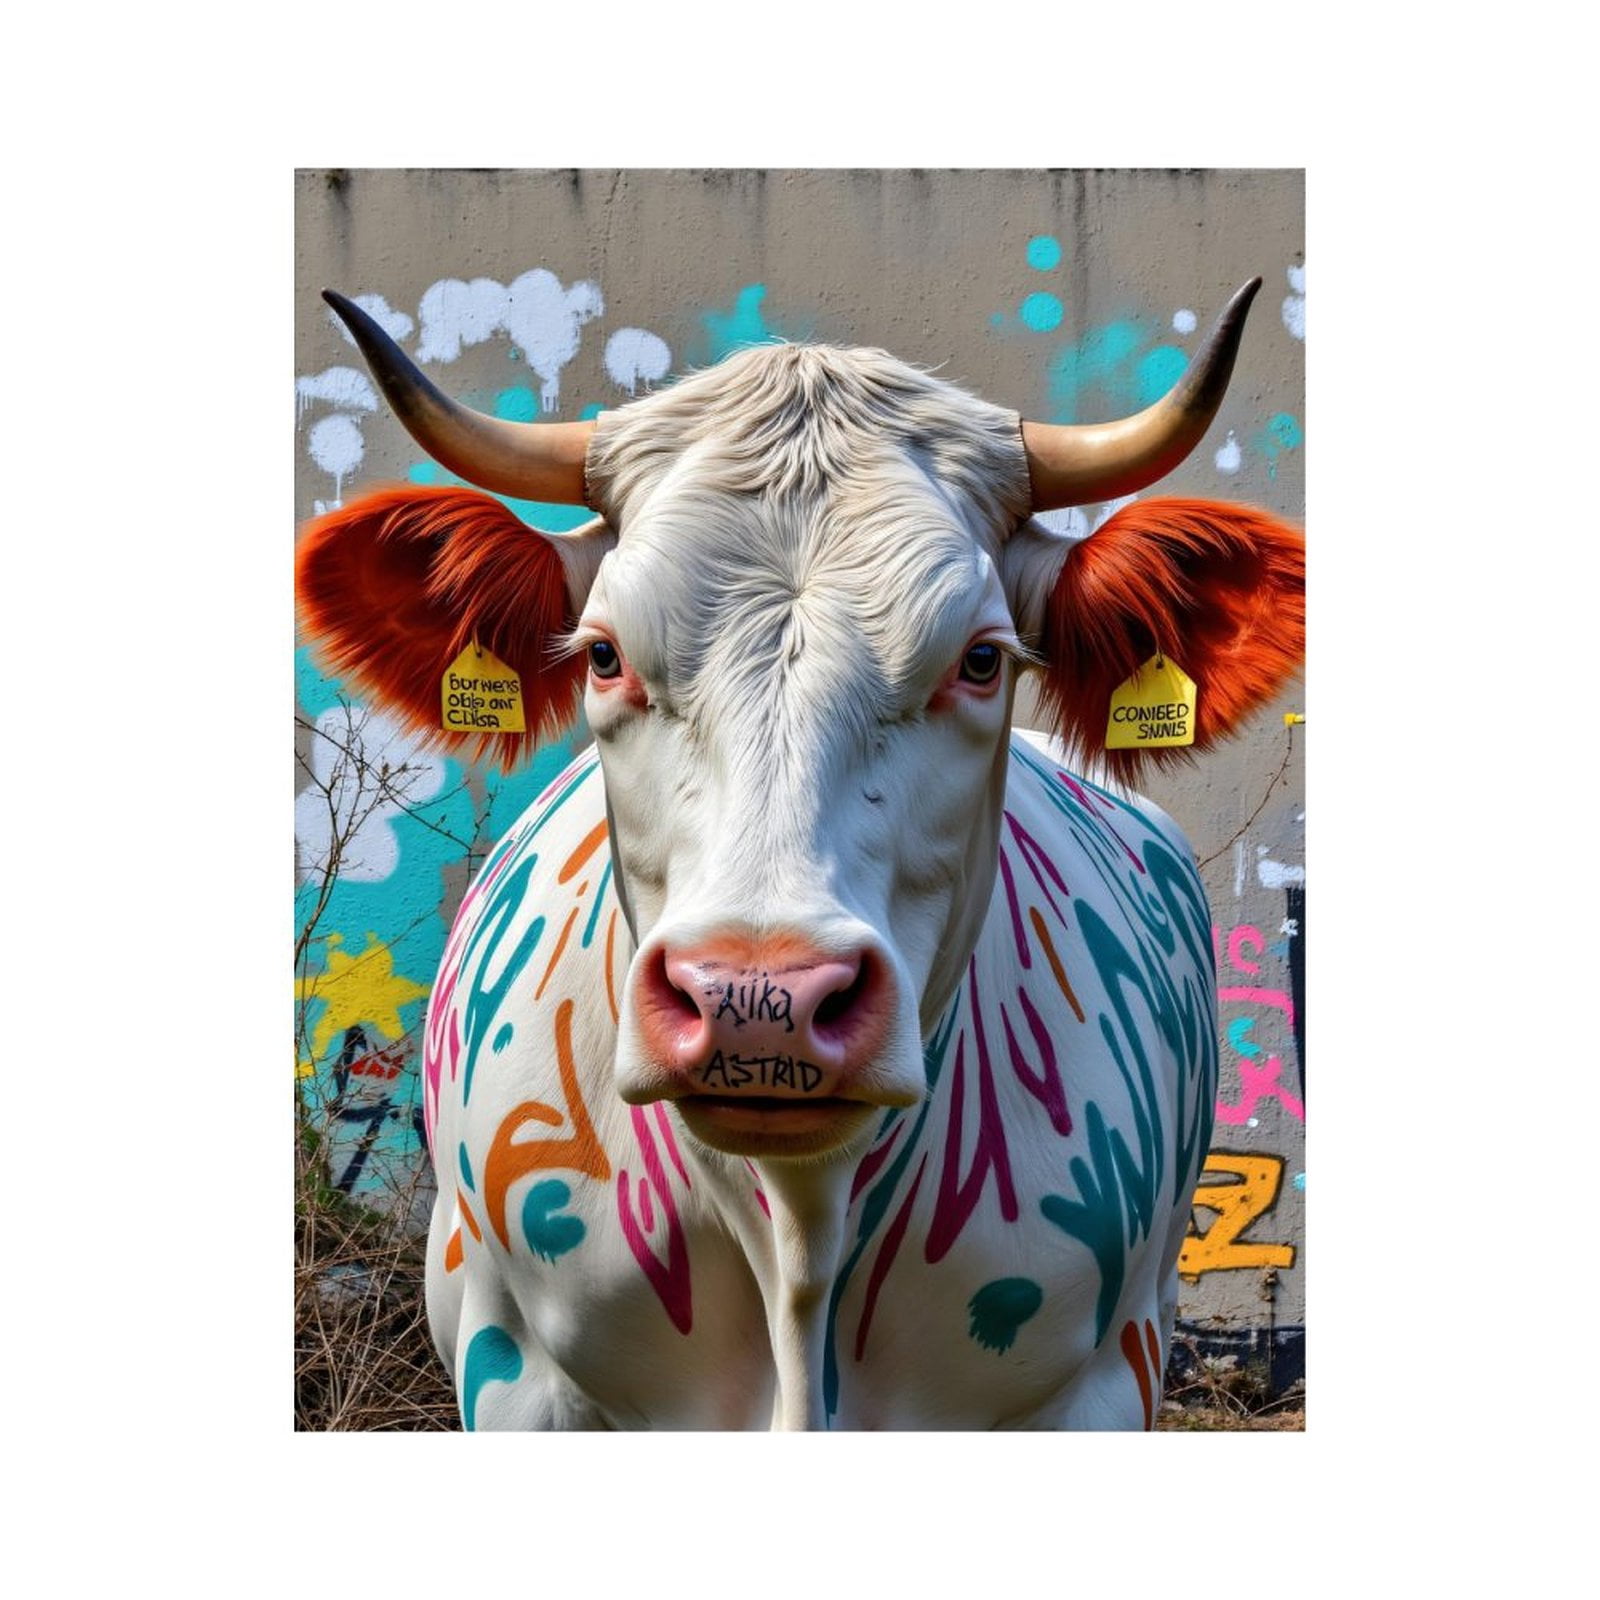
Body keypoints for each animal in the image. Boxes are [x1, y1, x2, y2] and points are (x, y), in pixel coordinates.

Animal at [296, 278, 1304, 1429]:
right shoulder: (518, 1373)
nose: (756, 1001)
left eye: (982, 660)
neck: (799, 1243)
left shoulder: (1097, 1384)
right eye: (603, 655)